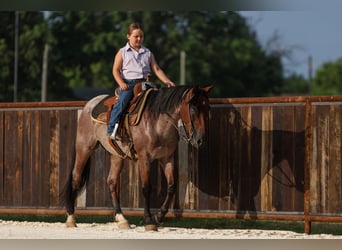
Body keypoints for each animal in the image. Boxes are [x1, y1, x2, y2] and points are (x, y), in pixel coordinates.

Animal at [62, 85, 212, 231]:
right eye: (193, 109)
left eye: (208, 108)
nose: (200, 140)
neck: (157, 122)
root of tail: (89, 104)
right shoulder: (144, 157)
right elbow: (146, 188)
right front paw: (149, 220)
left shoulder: (167, 158)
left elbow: (171, 186)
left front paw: (159, 217)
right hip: (84, 148)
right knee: (76, 177)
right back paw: (71, 219)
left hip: (117, 156)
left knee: (112, 181)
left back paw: (121, 219)